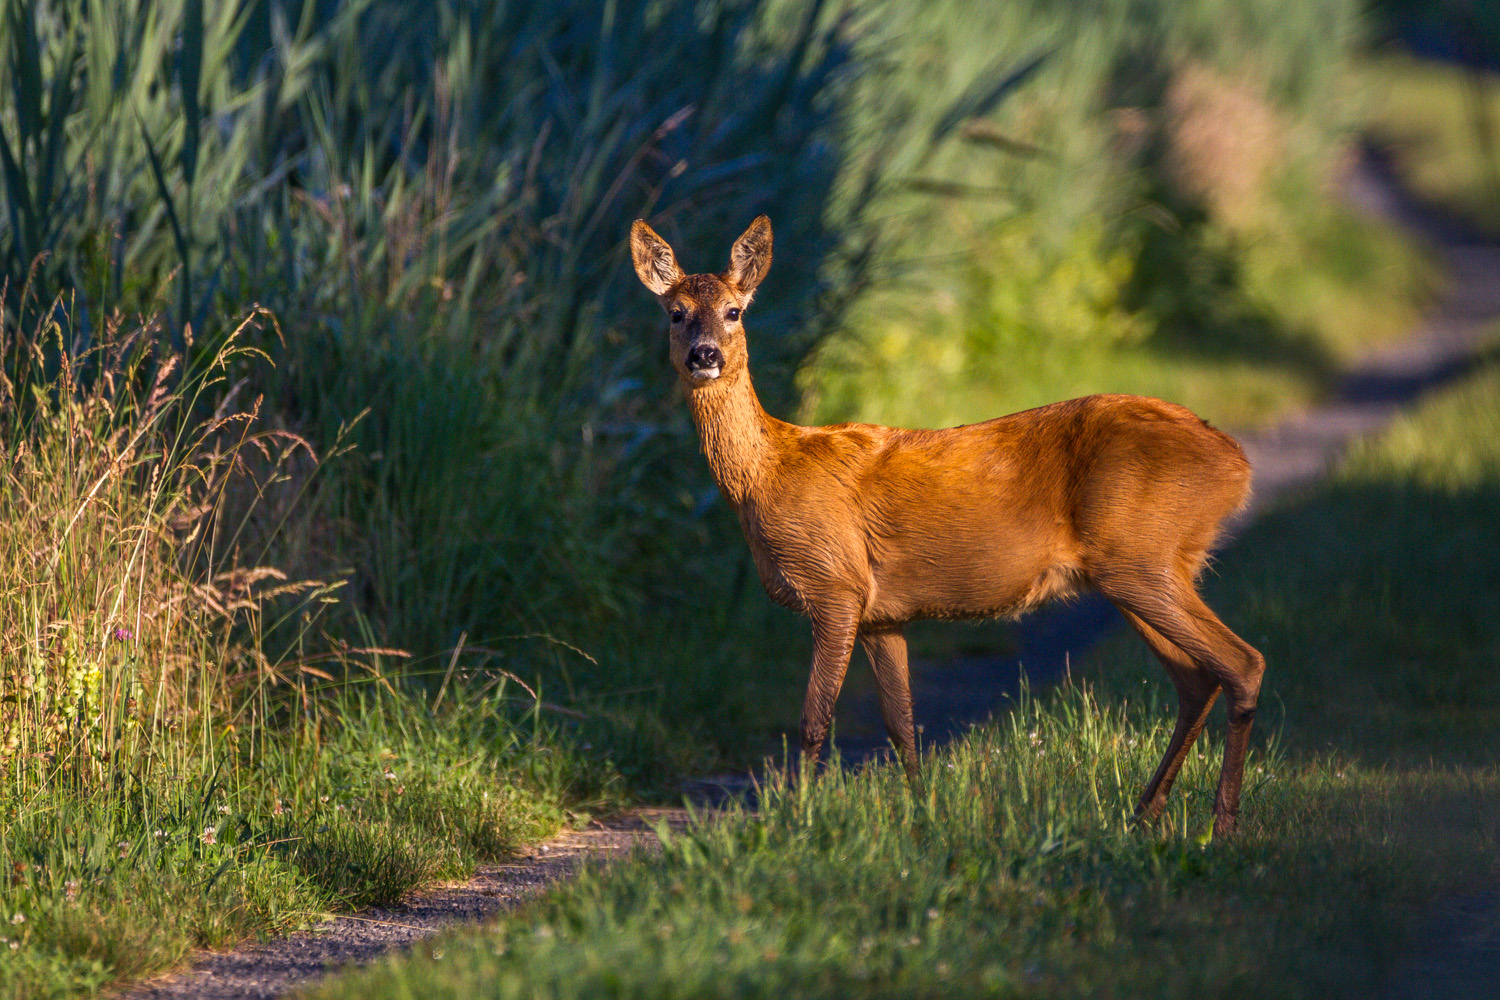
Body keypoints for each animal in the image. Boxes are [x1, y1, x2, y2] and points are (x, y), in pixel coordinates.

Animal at [630, 217, 1266, 839]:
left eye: (735, 311)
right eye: (675, 312)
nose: (705, 355)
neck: (770, 475)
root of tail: (1236, 462)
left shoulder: (836, 584)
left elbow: (814, 719)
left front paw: (797, 822)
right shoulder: (881, 614)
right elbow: (902, 726)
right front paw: (920, 815)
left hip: (1140, 556)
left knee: (1241, 663)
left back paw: (1223, 826)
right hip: (1145, 566)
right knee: (1196, 678)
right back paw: (1145, 813)